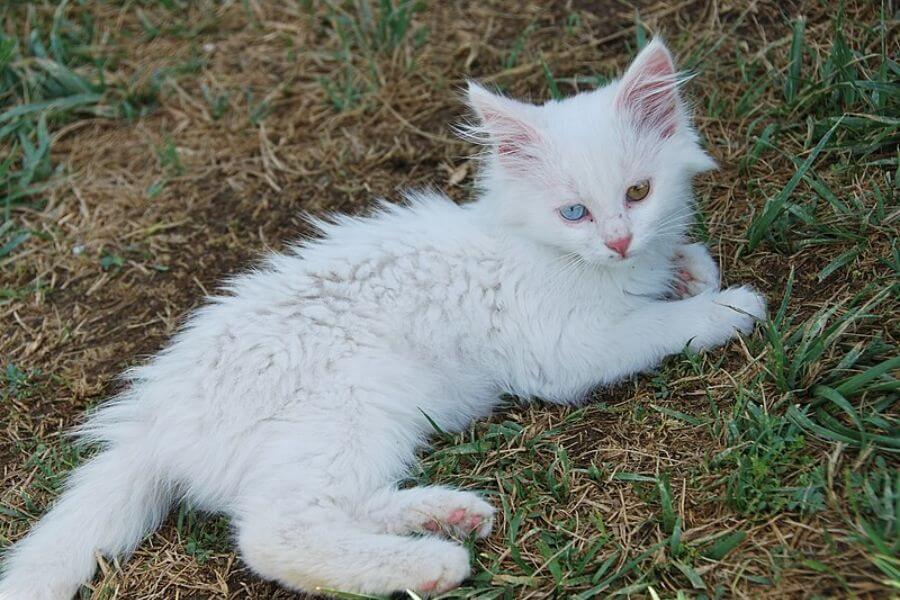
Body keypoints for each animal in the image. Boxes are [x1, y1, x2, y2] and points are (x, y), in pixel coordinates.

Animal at [0, 39, 768, 596]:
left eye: (638, 193)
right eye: (573, 211)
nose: (617, 240)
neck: (527, 241)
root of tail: (153, 423)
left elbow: (671, 274)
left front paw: (686, 270)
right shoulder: (565, 349)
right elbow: (655, 328)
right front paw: (725, 306)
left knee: (310, 506)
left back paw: (445, 514)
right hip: (359, 397)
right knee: (273, 531)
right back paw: (428, 564)